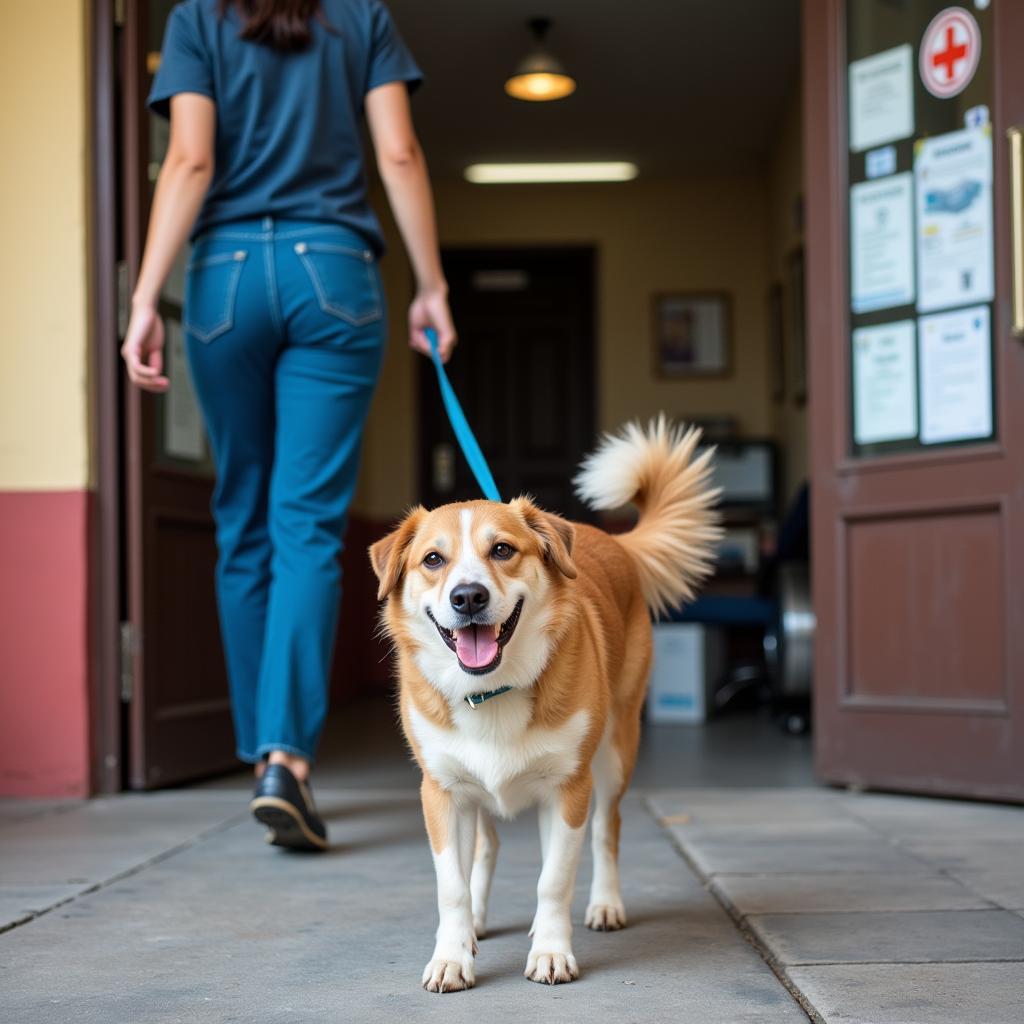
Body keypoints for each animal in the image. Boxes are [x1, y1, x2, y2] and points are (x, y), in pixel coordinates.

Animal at [370, 415, 720, 991]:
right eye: (433, 560)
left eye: (502, 551)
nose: (468, 597)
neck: (491, 690)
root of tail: (613, 541)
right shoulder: (442, 793)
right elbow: (452, 885)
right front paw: (452, 954)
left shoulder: (568, 789)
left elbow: (554, 880)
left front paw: (552, 951)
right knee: (486, 848)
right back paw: (478, 921)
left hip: (615, 753)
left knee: (605, 831)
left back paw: (604, 904)